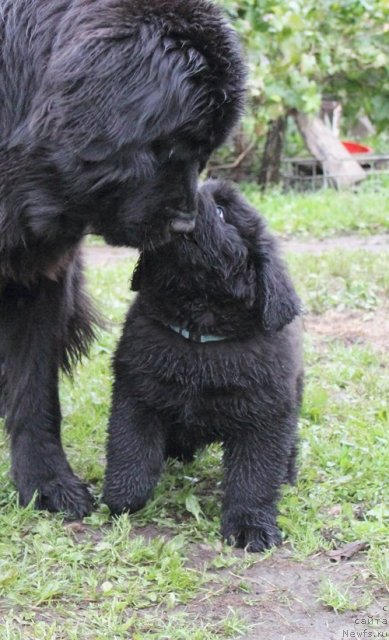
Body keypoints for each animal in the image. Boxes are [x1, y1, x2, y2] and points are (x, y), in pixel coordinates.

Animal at [0, 0, 242, 516]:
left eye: (205, 154)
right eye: (170, 145)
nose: (185, 226)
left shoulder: (41, 274)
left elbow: (34, 389)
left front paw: (47, 483)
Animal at [103, 180, 304, 552]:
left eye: (223, 211)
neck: (198, 334)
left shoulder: (265, 417)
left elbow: (255, 476)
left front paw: (250, 527)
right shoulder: (136, 393)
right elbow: (130, 449)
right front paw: (121, 500)